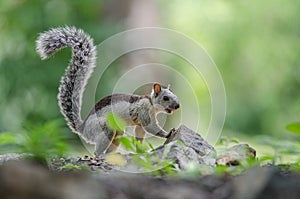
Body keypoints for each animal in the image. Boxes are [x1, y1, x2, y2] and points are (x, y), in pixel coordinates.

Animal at [36, 26, 179, 157]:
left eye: (175, 96)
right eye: (165, 98)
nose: (177, 106)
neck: (151, 104)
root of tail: (83, 129)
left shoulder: (140, 123)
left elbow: (139, 135)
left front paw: (140, 150)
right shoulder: (144, 113)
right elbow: (151, 128)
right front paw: (168, 133)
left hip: (118, 133)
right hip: (105, 129)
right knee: (97, 151)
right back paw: (100, 156)